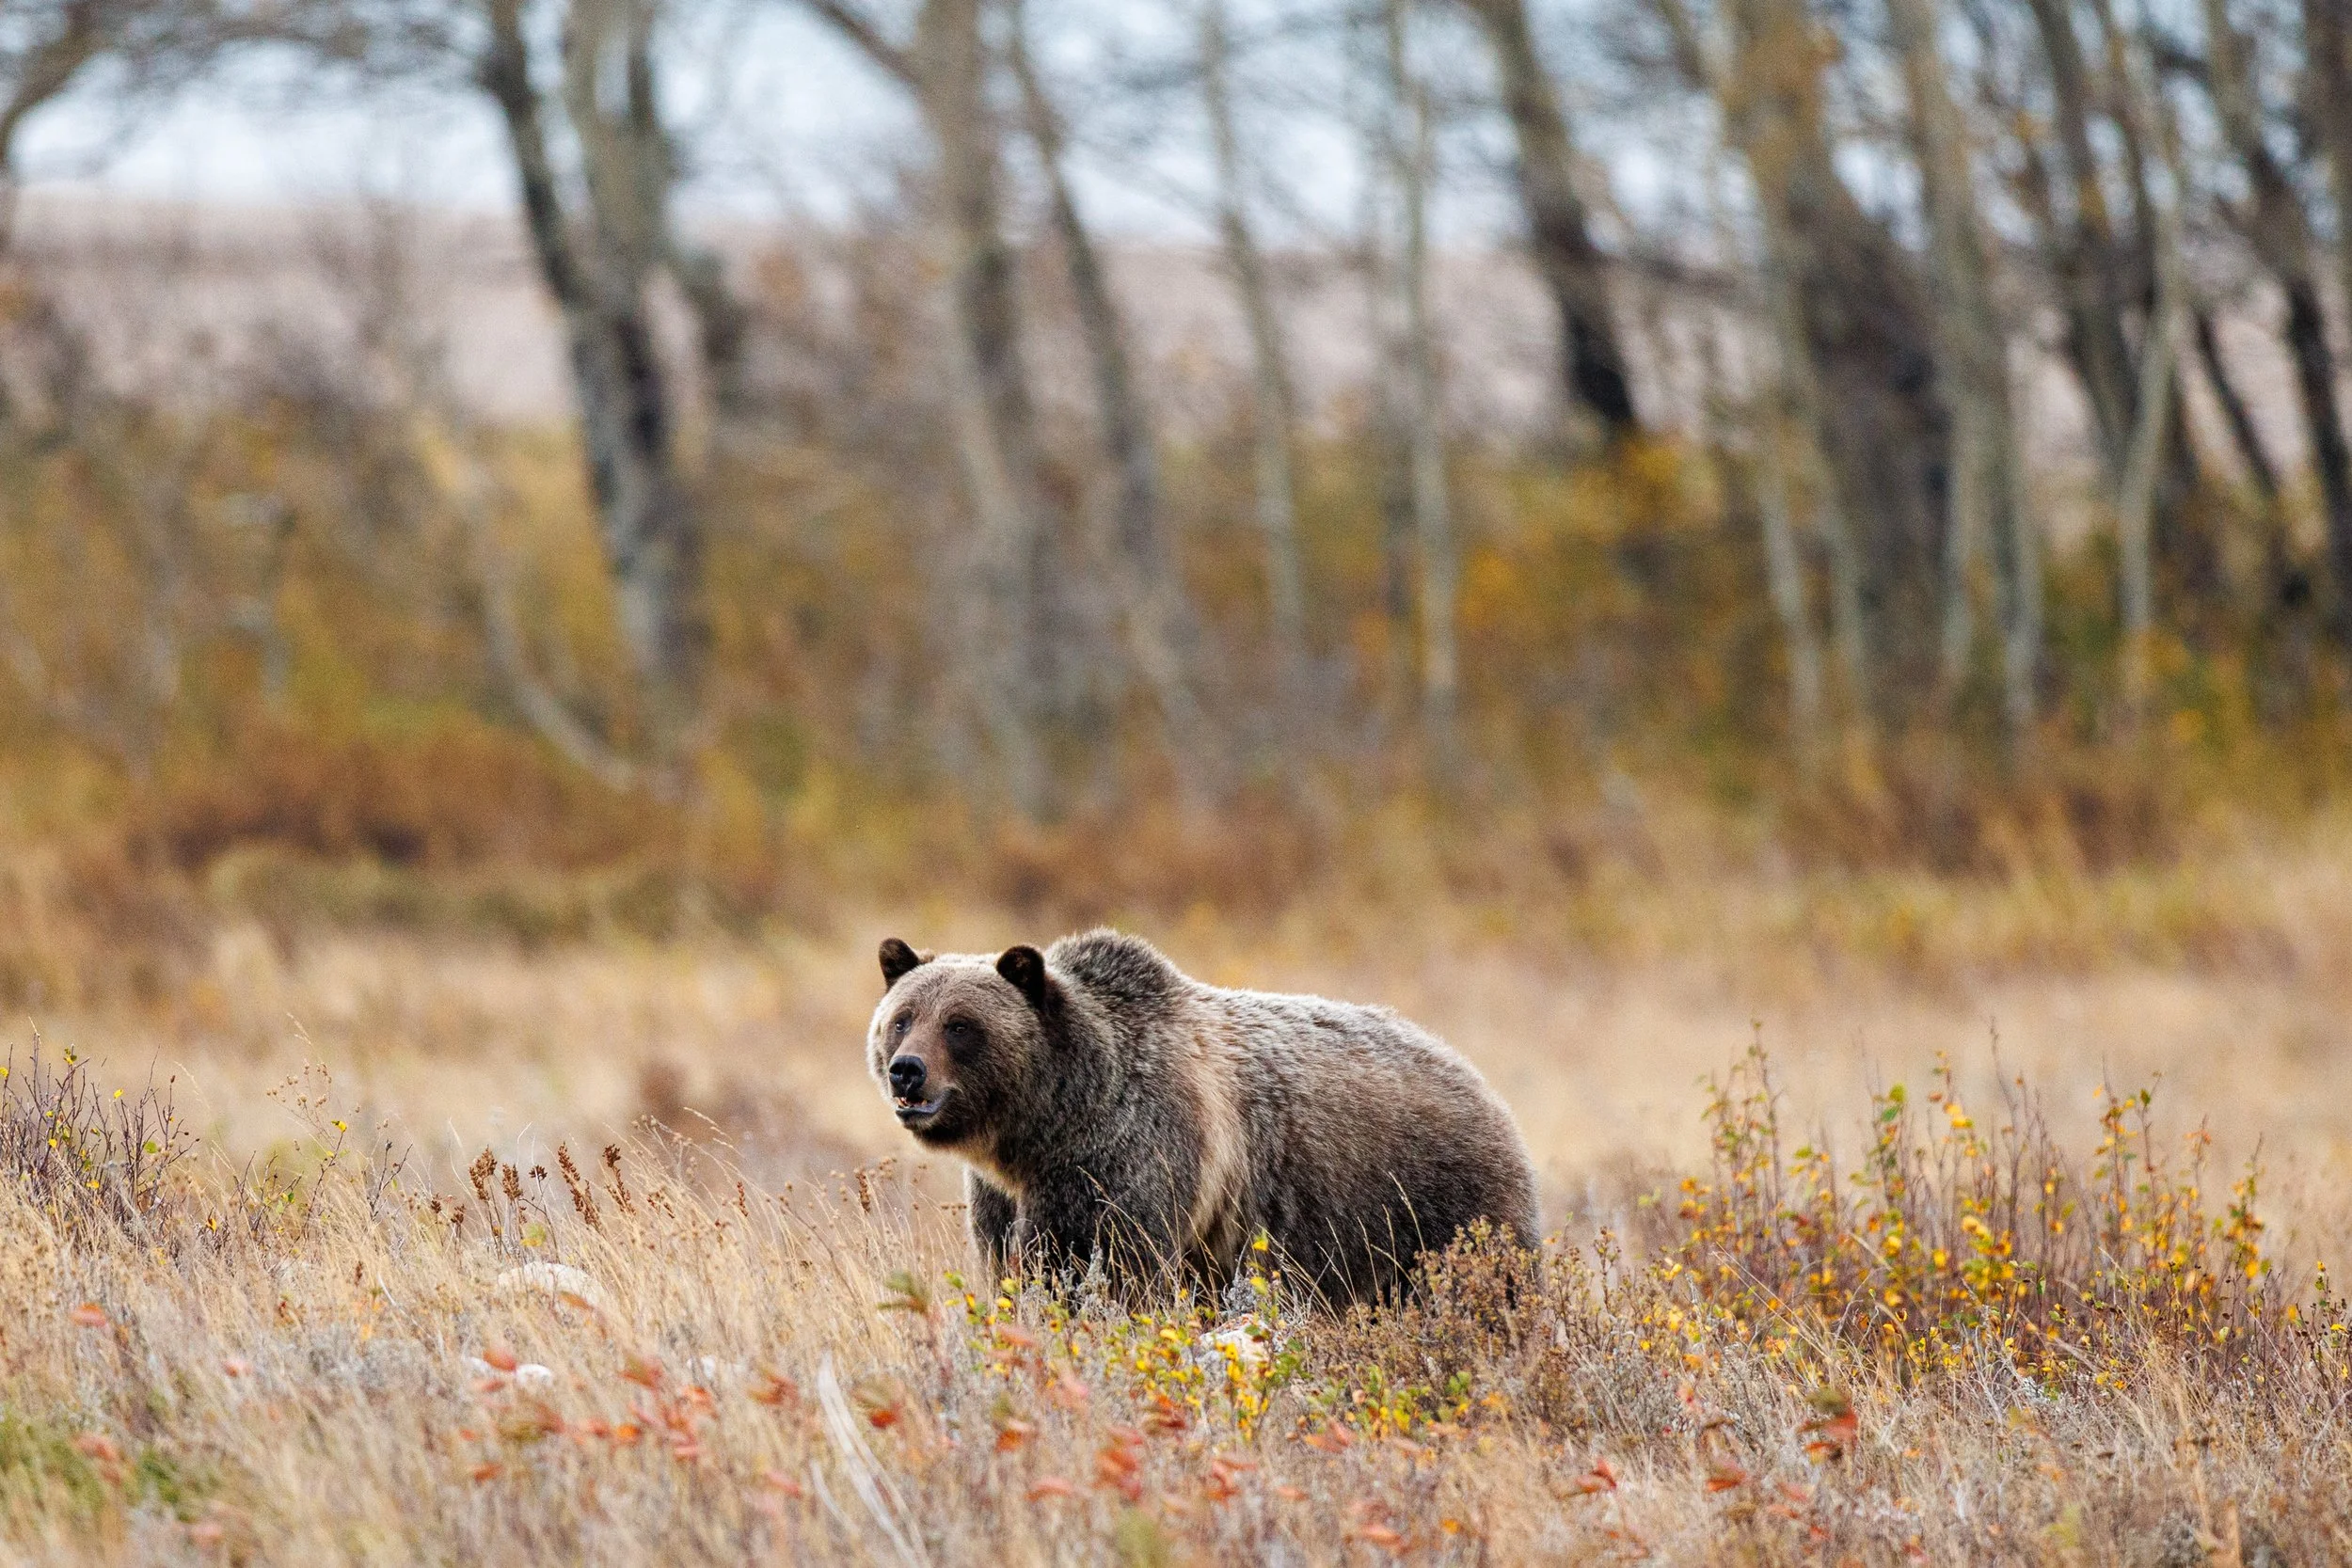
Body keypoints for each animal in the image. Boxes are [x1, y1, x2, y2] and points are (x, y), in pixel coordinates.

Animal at [865, 928, 1539, 1307]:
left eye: (960, 1025)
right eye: (902, 1018)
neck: (1043, 1126)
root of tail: (1472, 1074)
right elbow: (1011, 1263)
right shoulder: (1002, 1195)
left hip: (1431, 1206)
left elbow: (1095, 1264)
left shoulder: (1129, 1153)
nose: (907, 1070)